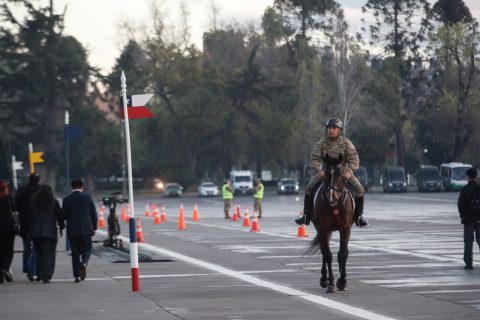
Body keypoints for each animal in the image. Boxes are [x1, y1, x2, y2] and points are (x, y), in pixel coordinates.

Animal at [308, 154, 356, 294]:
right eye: (326, 174)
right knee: (324, 251)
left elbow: (343, 253)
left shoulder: (345, 228)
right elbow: (328, 255)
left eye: (340, 174)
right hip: (322, 230)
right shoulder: (322, 229)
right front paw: (331, 283)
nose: (331, 197)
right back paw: (324, 279)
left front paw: (342, 281)